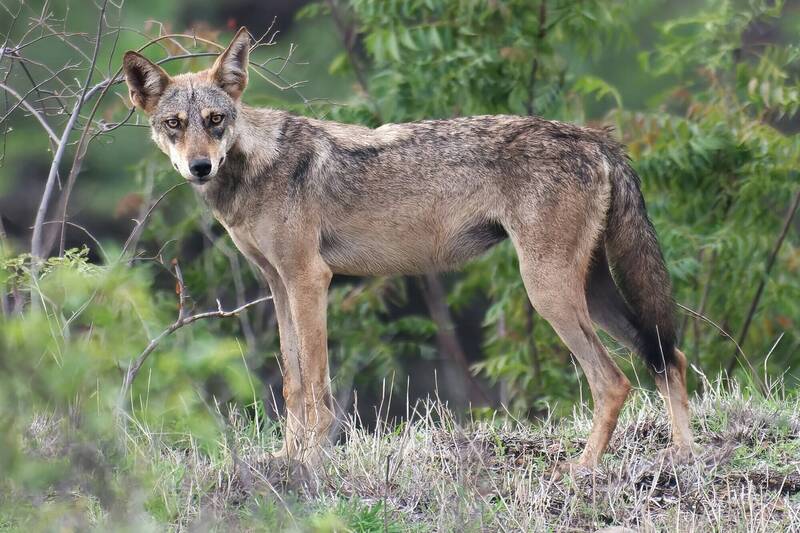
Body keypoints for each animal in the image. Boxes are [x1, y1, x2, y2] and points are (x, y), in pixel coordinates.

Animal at [123, 28, 692, 470]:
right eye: (175, 124)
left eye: (216, 120)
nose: (200, 166)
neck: (255, 167)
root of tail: (596, 138)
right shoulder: (279, 286)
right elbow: (291, 384)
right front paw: (286, 461)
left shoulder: (310, 279)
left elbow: (316, 388)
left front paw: (311, 466)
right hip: (588, 290)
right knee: (668, 355)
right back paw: (683, 457)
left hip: (548, 293)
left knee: (615, 380)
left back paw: (582, 469)